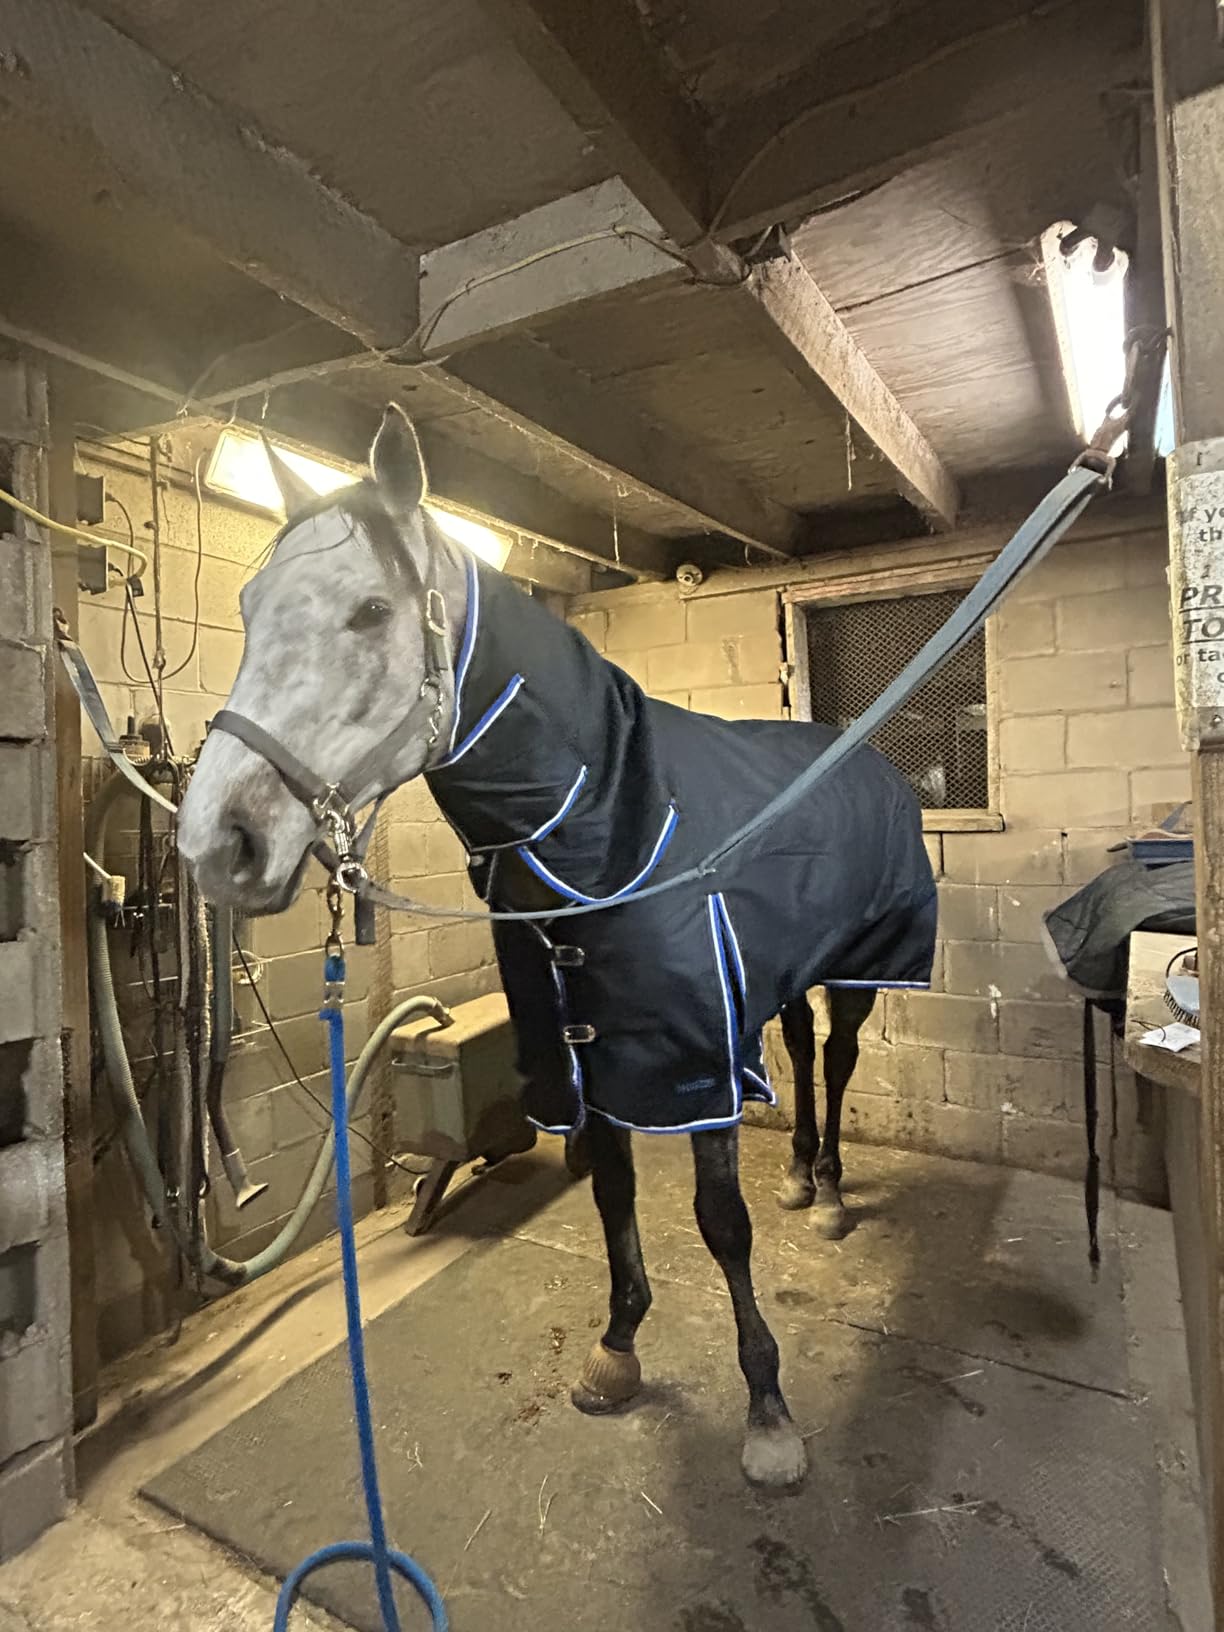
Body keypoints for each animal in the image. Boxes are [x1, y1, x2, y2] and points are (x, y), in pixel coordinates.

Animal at [178, 404, 937, 1489]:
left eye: (369, 611)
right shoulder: (587, 1047)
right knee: (798, 1049)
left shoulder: (693, 1058)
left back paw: (830, 1191)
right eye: (246, 607)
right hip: (784, 973)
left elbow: (721, 1222)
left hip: (859, 966)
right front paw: (618, 1349)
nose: (216, 844)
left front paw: (767, 1409)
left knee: (833, 1060)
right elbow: (613, 1186)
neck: (605, 824)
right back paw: (800, 1174)